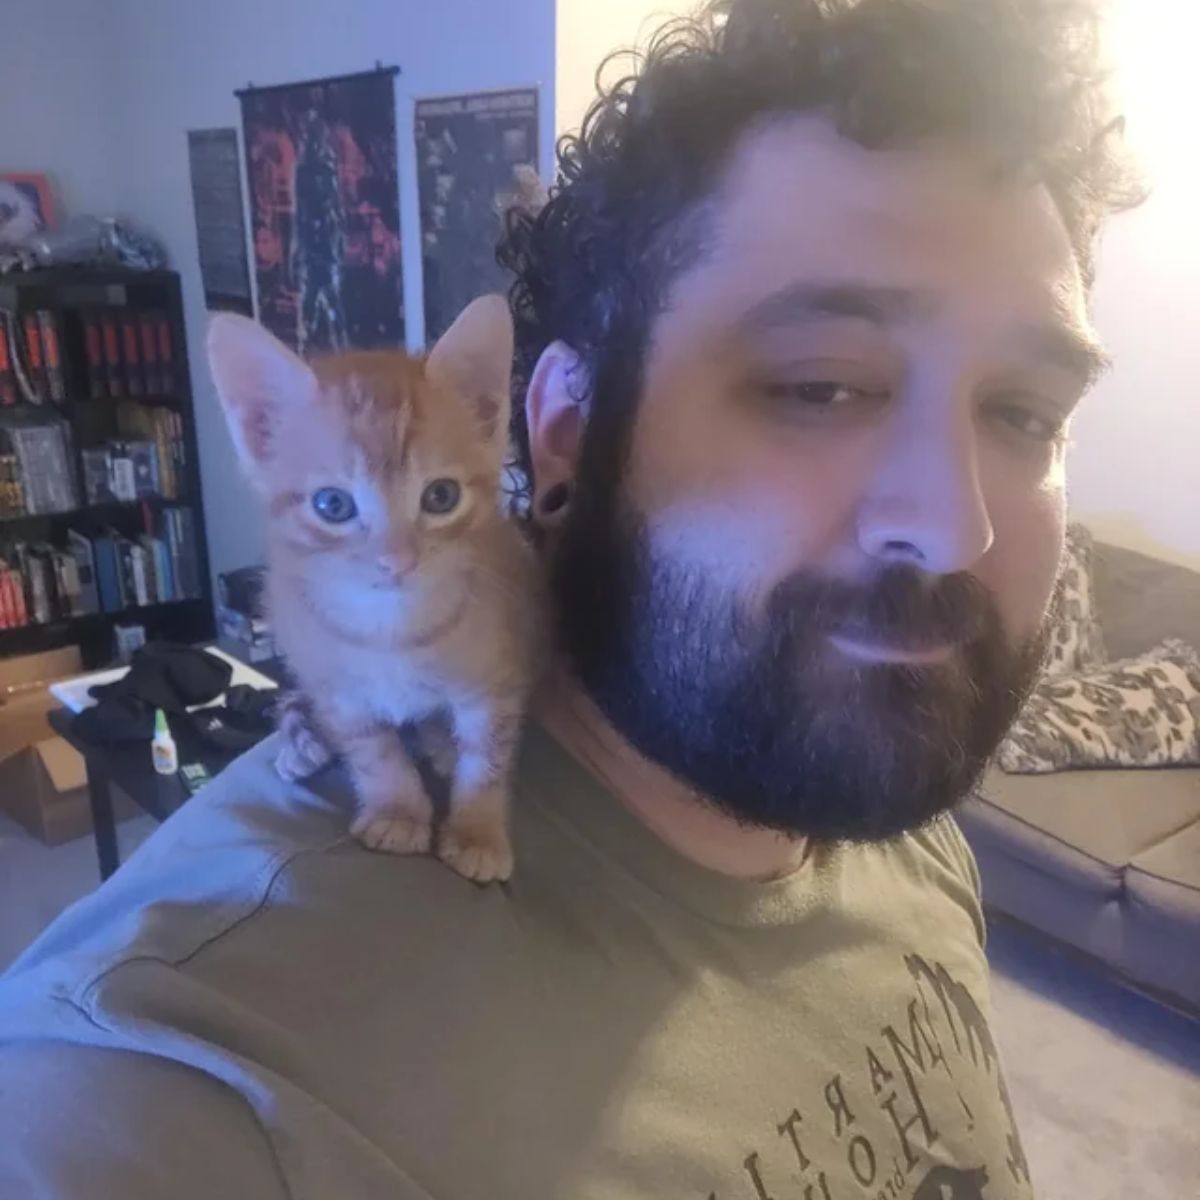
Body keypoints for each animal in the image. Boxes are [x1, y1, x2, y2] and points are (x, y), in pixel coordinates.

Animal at [206, 297, 540, 883]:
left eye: (441, 496)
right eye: (332, 505)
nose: (397, 560)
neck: (392, 627)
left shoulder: (496, 676)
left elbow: (487, 757)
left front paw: (477, 831)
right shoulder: (337, 689)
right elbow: (374, 752)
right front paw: (397, 812)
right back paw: (303, 745)